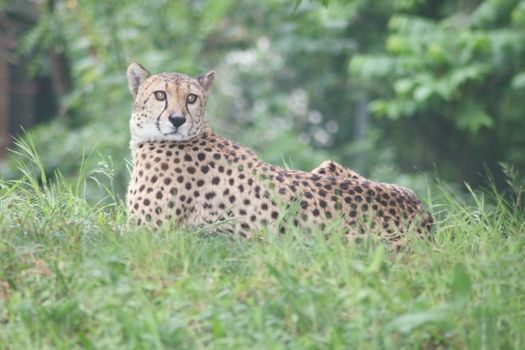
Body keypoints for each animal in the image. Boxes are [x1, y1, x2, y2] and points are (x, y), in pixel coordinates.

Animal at [125, 63, 432, 243]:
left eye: (191, 98)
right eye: (160, 95)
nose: (177, 120)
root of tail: (424, 220)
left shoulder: (146, 233)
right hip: (329, 166)